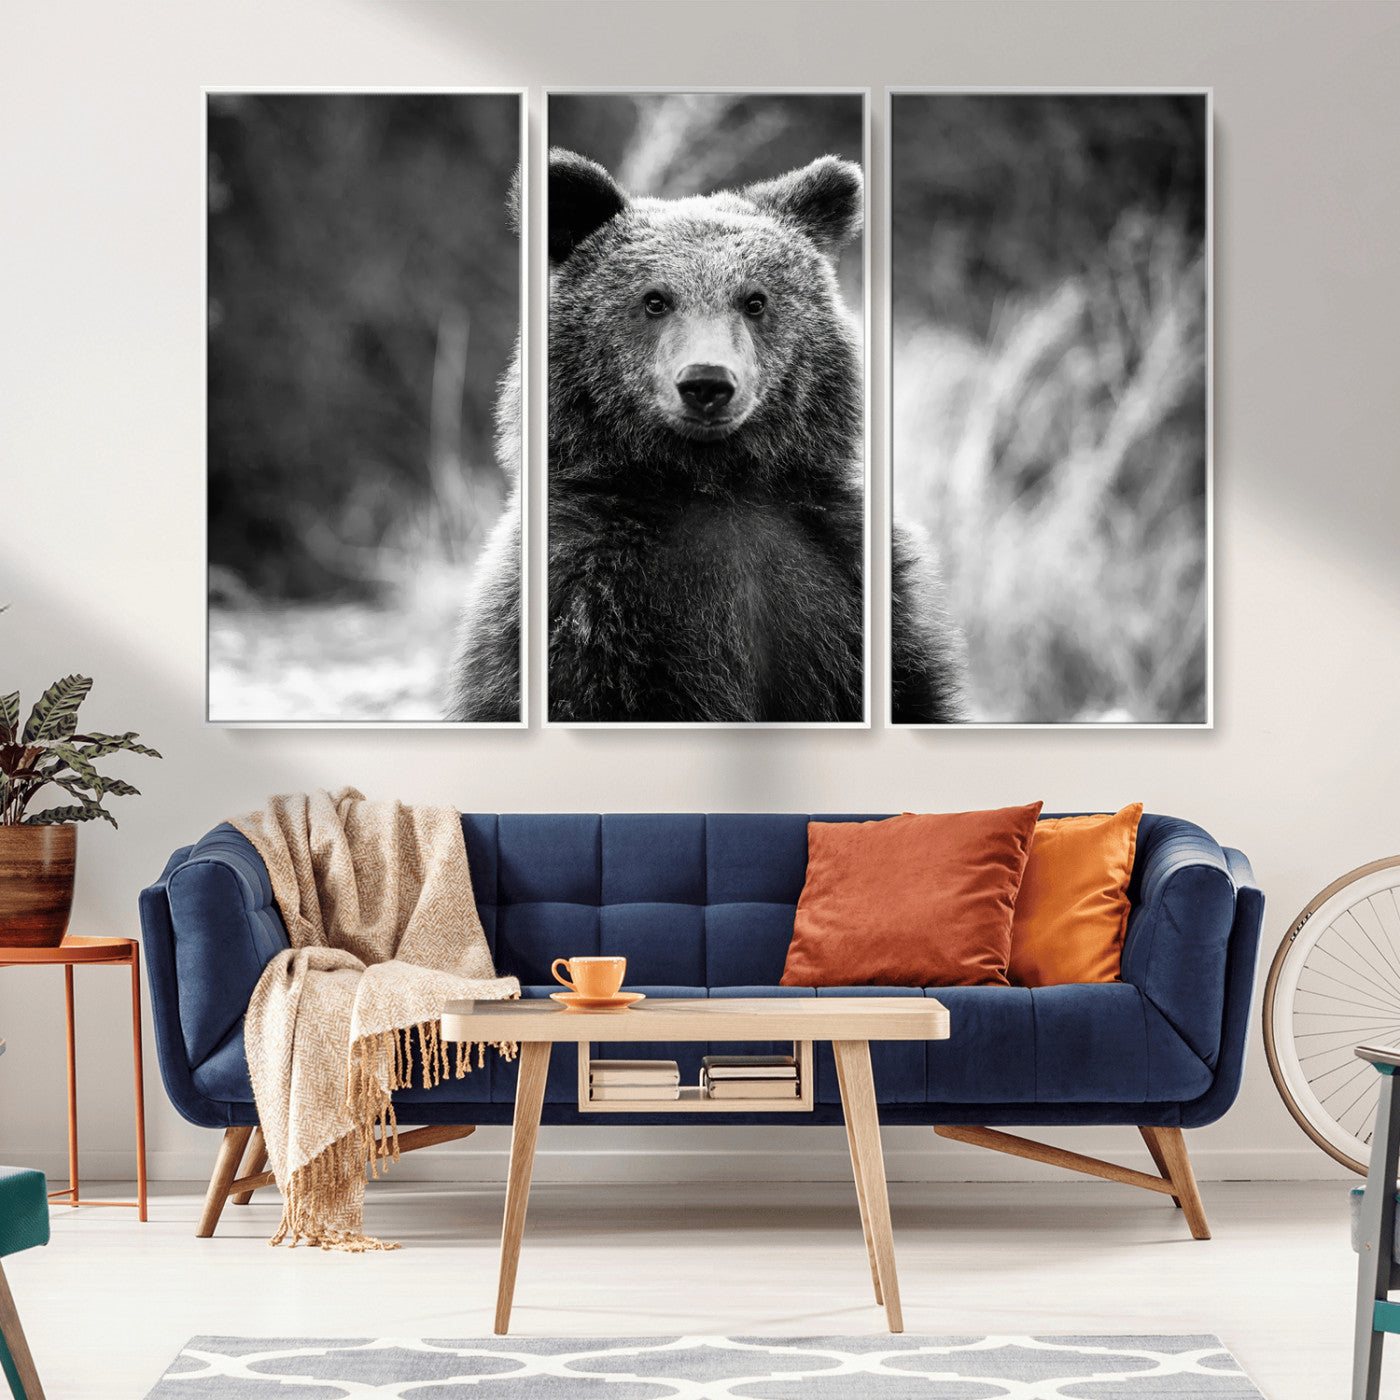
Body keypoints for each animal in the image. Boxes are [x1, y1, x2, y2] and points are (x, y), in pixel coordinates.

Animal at [445, 149, 966, 724]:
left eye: (754, 300)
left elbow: (910, 689)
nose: (707, 383)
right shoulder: (586, 597)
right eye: (655, 300)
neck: (713, 482)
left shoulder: (845, 578)